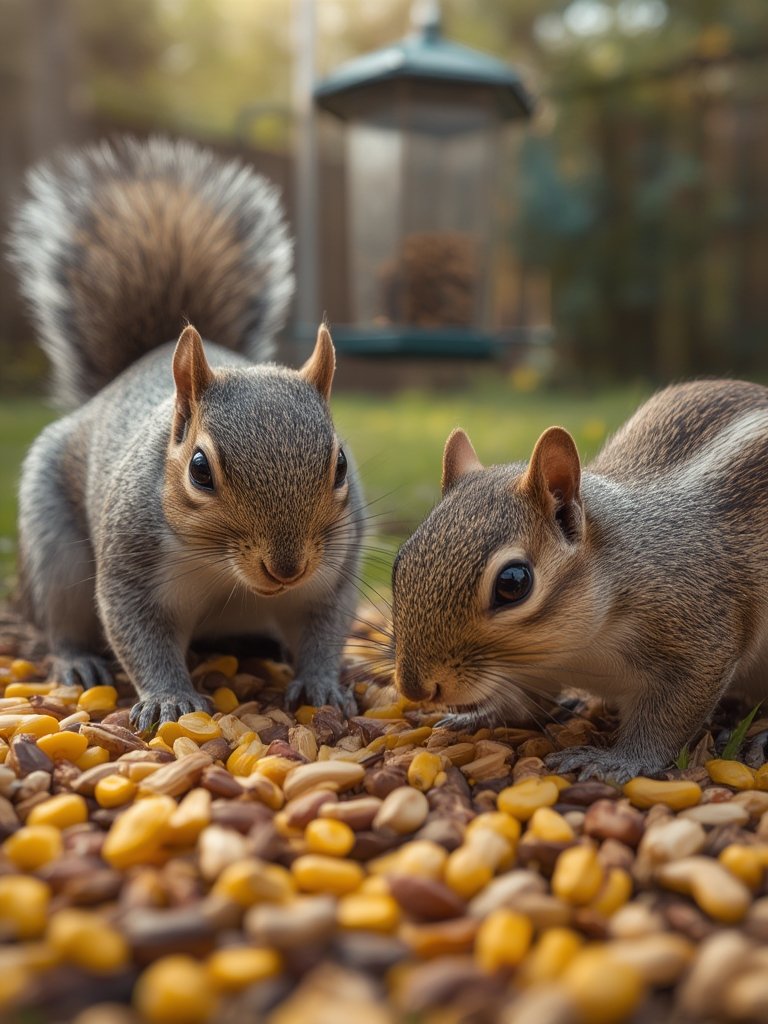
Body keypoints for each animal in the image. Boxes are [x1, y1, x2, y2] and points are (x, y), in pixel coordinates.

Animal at [8, 136, 364, 730]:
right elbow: (139, 634)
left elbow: (326, 627)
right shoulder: (132, 569)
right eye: (200, 469)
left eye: (340, 465)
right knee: (63, 621)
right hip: (54, 554)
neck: (224, 574)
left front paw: (322, 683)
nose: (287, 567)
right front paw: (170, 698)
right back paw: (77, 662)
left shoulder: (332, 571)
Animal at [391, 379, 768, 781]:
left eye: (513, 583)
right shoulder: (529, 669)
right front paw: (481, 714)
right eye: (400, 561)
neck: (575, 649)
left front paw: (619, 759)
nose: (414, 689)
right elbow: (521, 703)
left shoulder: (698, 629)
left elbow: (668, 717)